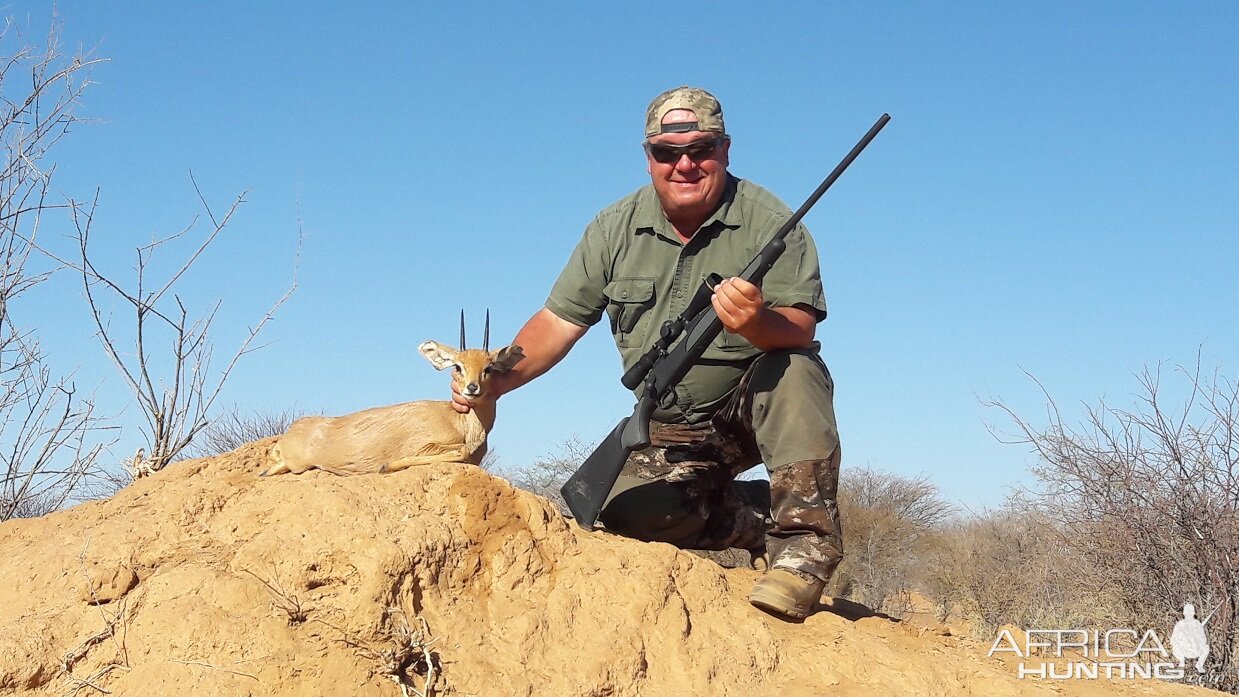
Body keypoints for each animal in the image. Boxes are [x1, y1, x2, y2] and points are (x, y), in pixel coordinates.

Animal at [261, 313, 522, 477]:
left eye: (488, 368)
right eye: (457, 366)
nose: (472, 388)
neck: (459, 422)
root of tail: (292, 431)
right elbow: (460, 451)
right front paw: (386, 465)